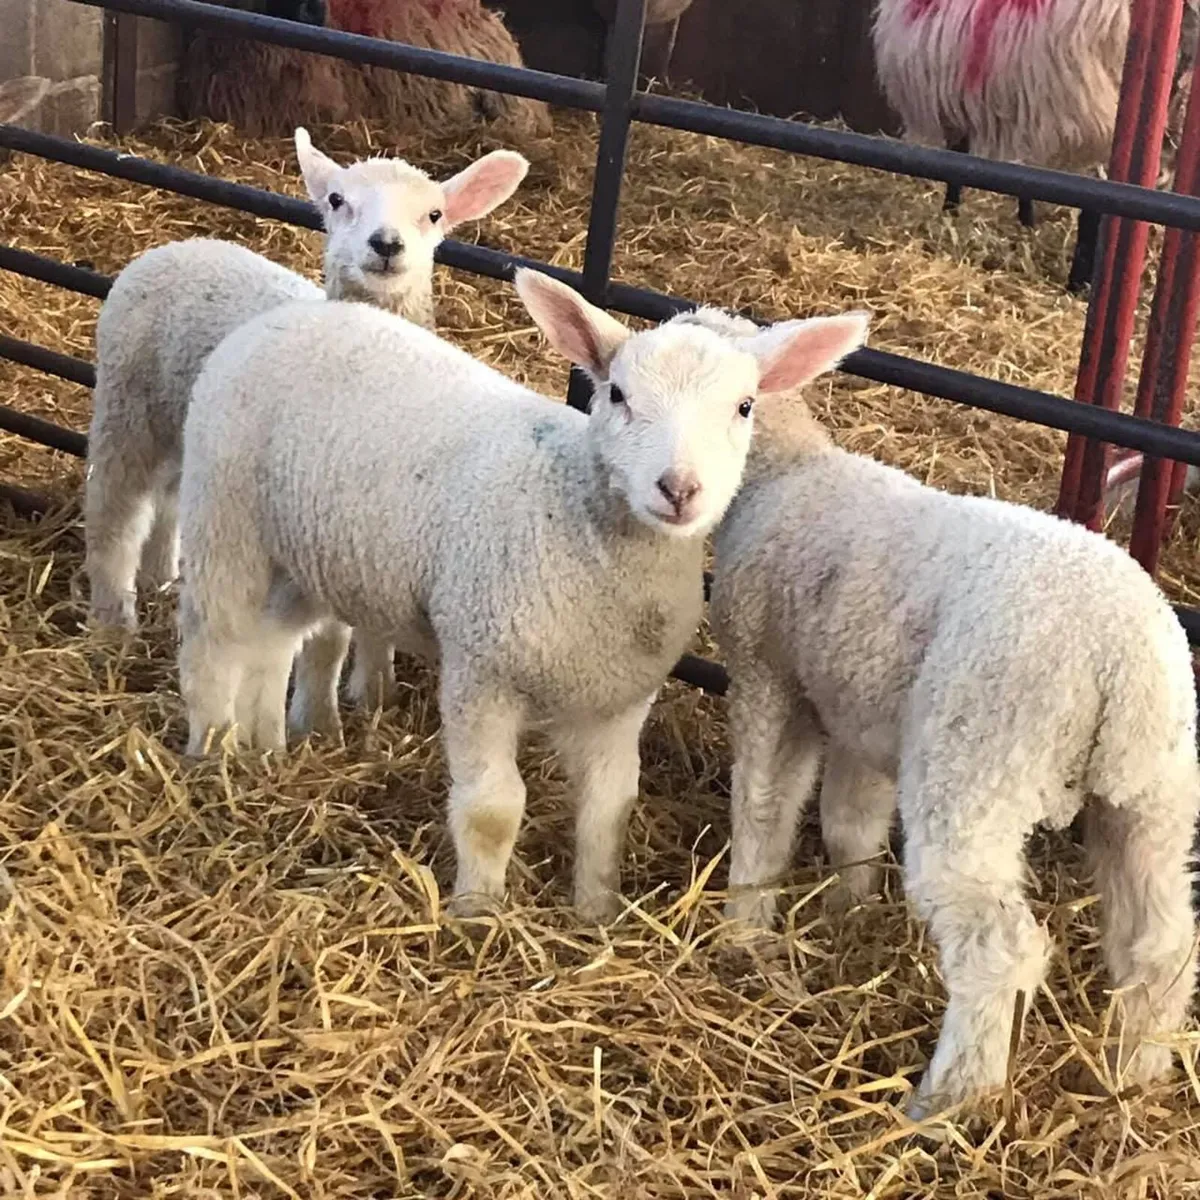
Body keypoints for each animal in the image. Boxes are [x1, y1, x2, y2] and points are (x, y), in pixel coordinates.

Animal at [85, 128, 528, 718]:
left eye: (434, 214)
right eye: (337, 201)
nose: (386, 244)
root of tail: (182, 246)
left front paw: (376, 692)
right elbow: (328, 637)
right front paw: (321, 715)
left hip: (197, 437)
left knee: (169, 500)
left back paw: (162, 577)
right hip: (127, 405)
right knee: (114, 512)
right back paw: (113, 621)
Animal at [174, 269, 862, 920]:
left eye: (745, 406)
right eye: (618, 394)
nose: (679, 489)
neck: (577, 519)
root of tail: (292, 316)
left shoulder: (619, 698)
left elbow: (610, 807)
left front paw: (595, 913)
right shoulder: (482, 674)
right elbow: (492, 810)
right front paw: (477, 914)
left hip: (303, 553)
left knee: (271, 645)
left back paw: (264, 750)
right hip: (224, 516)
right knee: (213, 644)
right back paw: (209, 756)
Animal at [693, 303, 1199, 1116]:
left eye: (734, 402)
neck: (790, 472)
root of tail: (1122, 665)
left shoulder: (771, 678)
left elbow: (765, 805)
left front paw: (745, 921)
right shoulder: (866, 710)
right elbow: (850, 820)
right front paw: (848, 909)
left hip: (977, 760)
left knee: (999, 948)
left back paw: (946, 1103)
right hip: (1154, 797)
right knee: (1163, 941)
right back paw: (1138, 1070)